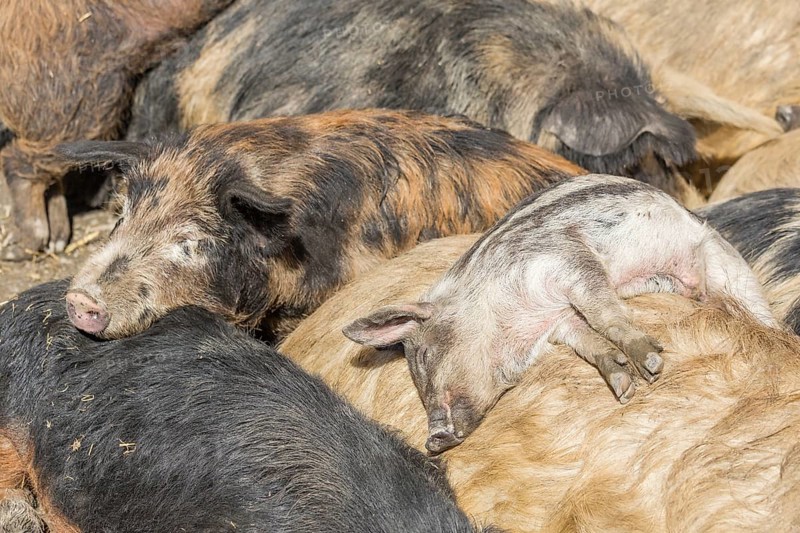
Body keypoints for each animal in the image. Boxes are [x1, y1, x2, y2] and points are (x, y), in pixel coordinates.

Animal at [344, 175, 776, 453]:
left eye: (424, 357)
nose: (433, 439)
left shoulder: (570, 259)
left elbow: (604, 313)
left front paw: (651, 366)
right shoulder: (559, 323)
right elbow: (587, 340)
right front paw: (623, 386)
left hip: (728, 266)